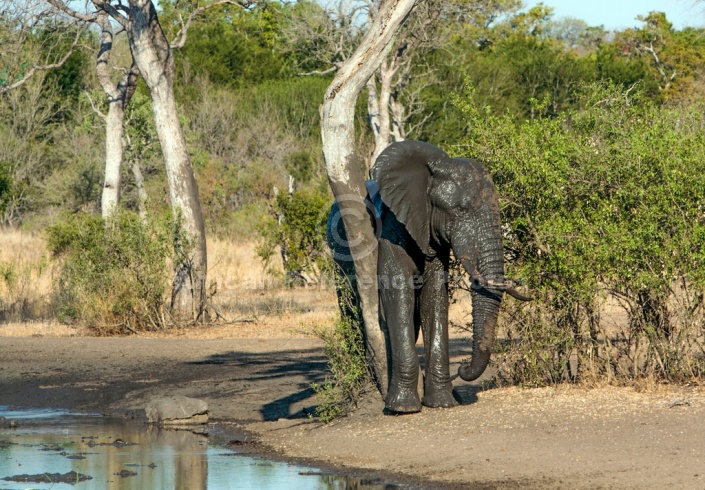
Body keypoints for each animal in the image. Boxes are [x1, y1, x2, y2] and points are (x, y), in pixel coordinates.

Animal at [326, 140, 528, 412]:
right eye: (460, 209)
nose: (462, 368)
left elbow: (434, 296)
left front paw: (442, 402)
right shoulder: (392, 230)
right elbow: (398, 291)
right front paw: (402, 408)